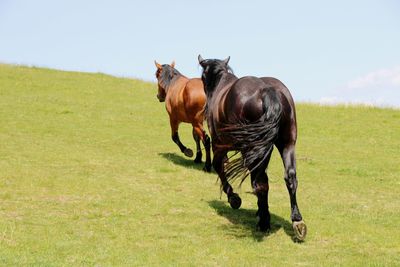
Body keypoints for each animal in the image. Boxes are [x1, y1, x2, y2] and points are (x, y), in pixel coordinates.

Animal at [199, 55, 306, 242]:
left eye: (202, 77)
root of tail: (267, 91)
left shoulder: (219, 144)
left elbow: (218, 165)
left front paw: (233, 197)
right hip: (286, 143)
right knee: (289, 178)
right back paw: (296, 221)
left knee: (260, 182)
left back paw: (264, 222)